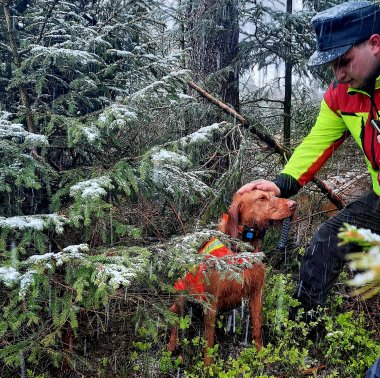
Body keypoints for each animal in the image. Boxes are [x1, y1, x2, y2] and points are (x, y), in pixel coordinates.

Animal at [167, 190, 296, 364]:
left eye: (273, 194)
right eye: (261, 198)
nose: (294, 204)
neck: (241, 251)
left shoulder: (256, 293)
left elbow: (257, 329)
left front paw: (261, 356)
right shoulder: (211, 302)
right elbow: (209, 342)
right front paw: (208, 366)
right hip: (183, 295)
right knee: (173, 314)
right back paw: (172, 344)